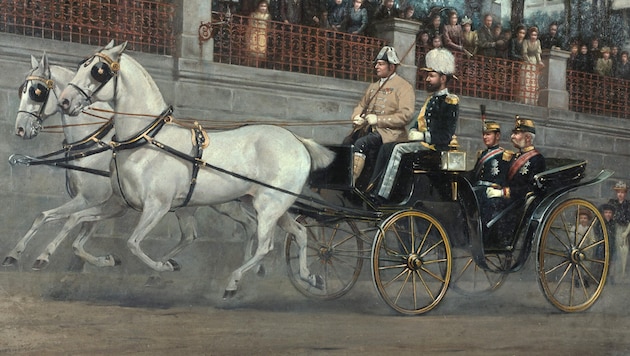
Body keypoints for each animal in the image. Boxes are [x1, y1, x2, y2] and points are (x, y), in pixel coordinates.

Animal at [8, 52, 260, 276]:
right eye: (22, 90)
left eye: (37, 91)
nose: (20, 129)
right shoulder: (108, 204)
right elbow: (62, 226)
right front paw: (14, 255)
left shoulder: (90, 199)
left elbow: (62, 220)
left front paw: (42, 256)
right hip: (190, 207)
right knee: (197, 234)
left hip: (224, 203)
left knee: (250, 224)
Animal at [59, 41, 336, 298]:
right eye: (82, 65)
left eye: (99, 70)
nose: (64, 101)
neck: (146, 140)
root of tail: (298, 141)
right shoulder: (119, 204)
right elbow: (78, 221)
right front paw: (109, 260)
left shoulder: (157, 207)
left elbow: (133, 244)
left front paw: (164, 266)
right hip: (269, 206)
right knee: (299, 233)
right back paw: (310, 277)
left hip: (269, 207)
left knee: (266, 246)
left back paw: (234, 281)